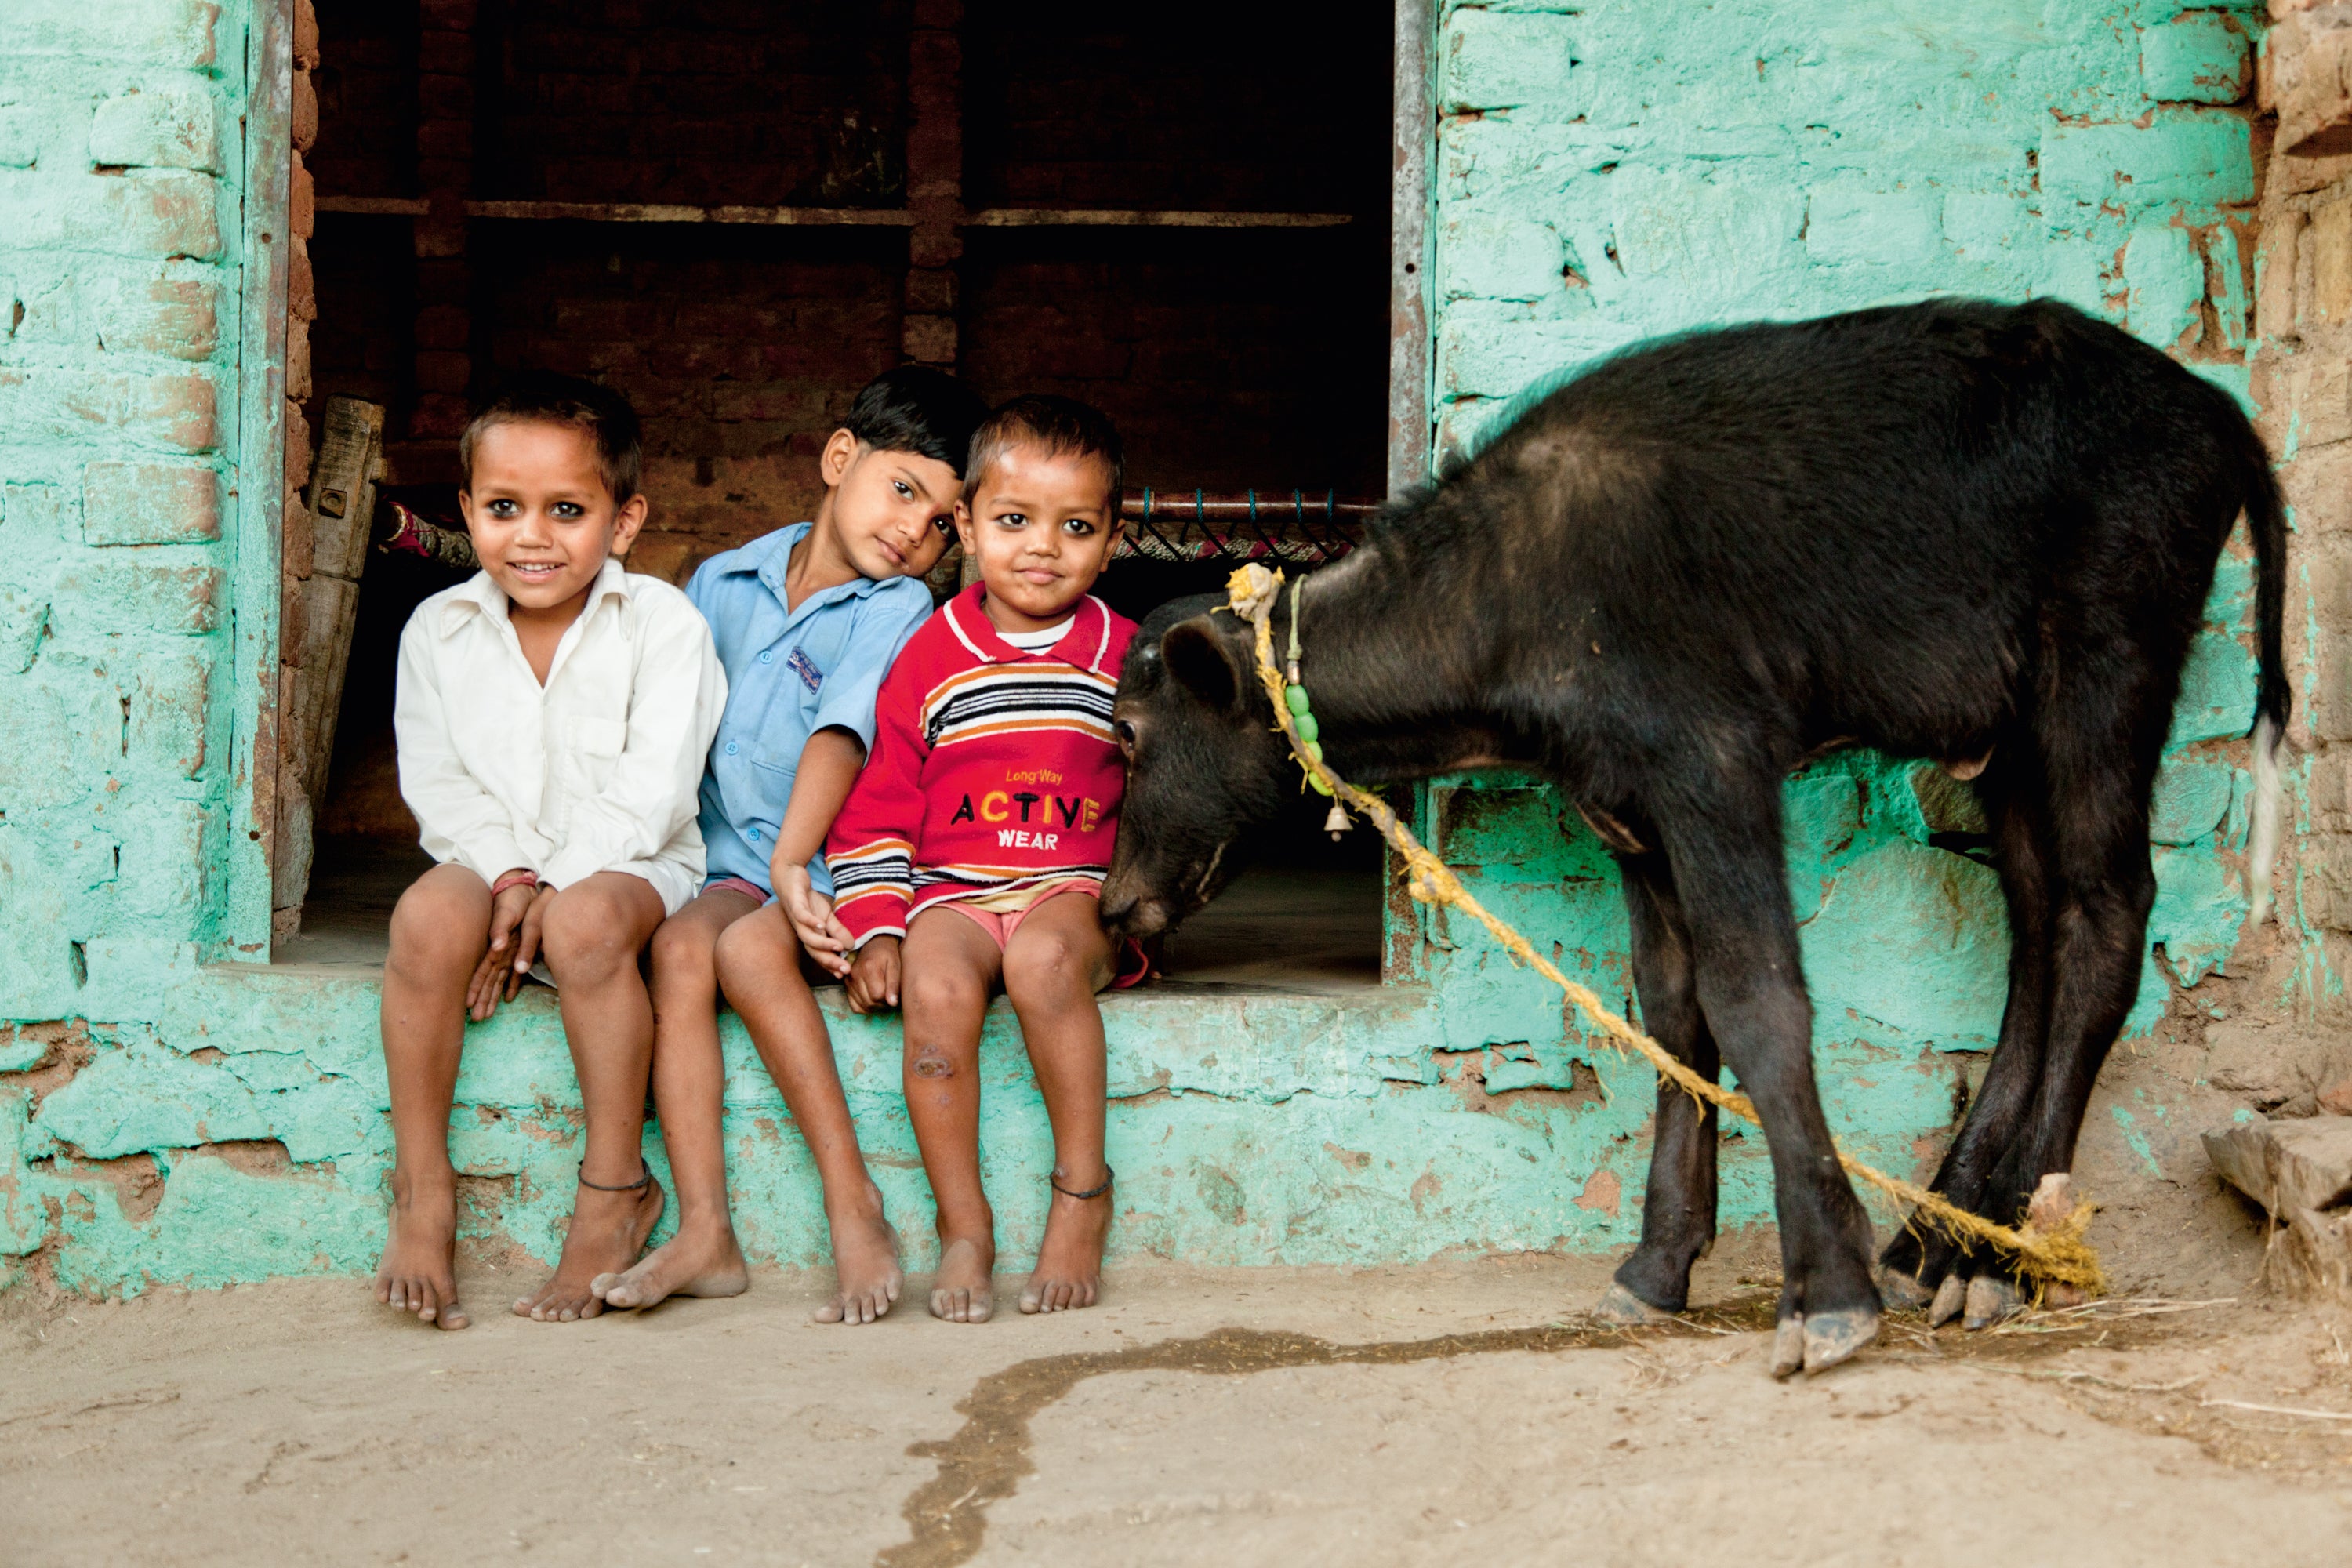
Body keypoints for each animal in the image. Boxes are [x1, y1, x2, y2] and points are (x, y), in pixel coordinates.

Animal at [1100, 298, 2286, 1377]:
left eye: (1128, 734)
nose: (1113, 904)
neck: (1514, 597)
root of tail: (2216, 411)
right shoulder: (1631, 818)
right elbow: (1674, 1015)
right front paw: (1659, 1261)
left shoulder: (1712, 769)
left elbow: (1756, 998)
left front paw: (1827, 1292)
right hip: (2007, 742)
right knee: (2039, 932)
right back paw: (1945, 1240)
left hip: (2105, 671)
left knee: (2105, 919)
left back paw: (2003, 1257)